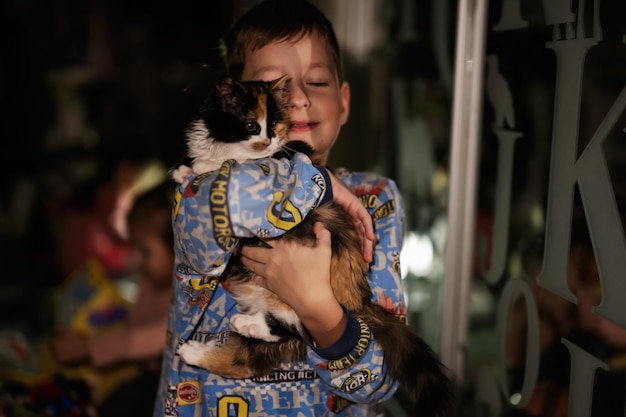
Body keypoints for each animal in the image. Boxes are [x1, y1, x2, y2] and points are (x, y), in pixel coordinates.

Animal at [173, 75, 450, 416]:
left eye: (274, 124)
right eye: (251, 125)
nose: (267, 141)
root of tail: (360, 301)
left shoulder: (290, 155)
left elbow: (235, 167)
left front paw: (202, 169)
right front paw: (186, 170)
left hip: (306, 302)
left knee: (292, 326)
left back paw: (232, 329)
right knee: (254, 352)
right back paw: (206, 345)